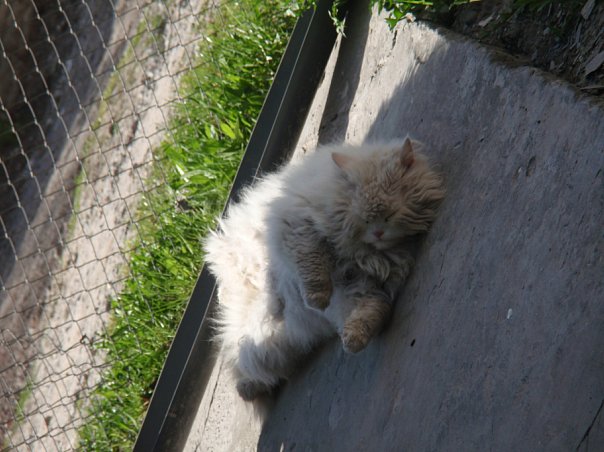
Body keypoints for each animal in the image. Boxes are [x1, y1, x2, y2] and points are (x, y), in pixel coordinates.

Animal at [204, 137, 444, 402]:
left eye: (389, 216)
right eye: (365, 219)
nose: (378, 233)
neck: (362, 252)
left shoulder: (364, 287)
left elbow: (371, 312)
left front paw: (353, 340)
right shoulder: (299, 226)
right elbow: (312, 267)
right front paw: (316, 300)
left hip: (268, 343)